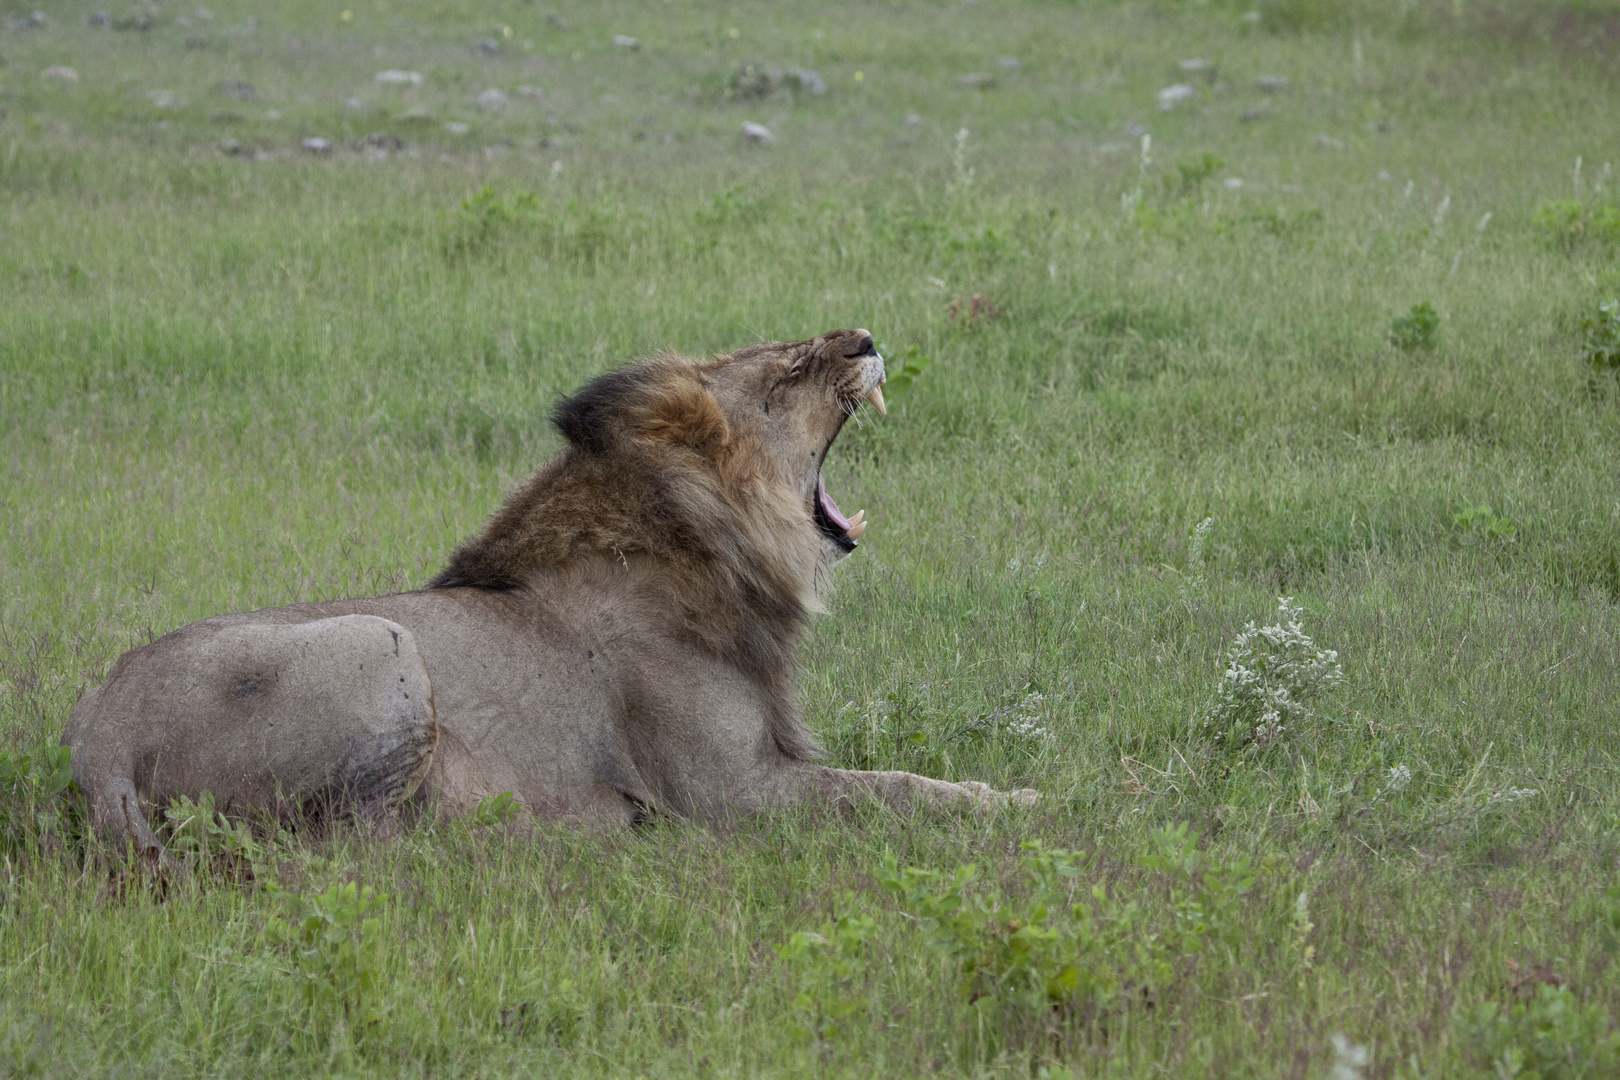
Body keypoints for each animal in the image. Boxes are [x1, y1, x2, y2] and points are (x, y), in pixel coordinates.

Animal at [63, 330, 1036, 861]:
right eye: (785, 373)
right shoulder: (730, 795)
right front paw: (1015, 804)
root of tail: (96, 736)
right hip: (383, 646)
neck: (719, 555)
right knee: (359, 849)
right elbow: (890, 790)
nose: (865, 338)